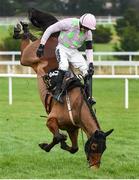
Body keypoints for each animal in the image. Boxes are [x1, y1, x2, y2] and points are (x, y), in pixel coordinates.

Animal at [13, 8, 113, 169]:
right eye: (93, 146)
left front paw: (55, 145)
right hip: (27, 57)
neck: (76, 106)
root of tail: (54, 39)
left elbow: (74, 147)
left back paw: (25, 30)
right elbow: (59, 136)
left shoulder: (73, 129)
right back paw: (21, 31)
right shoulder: (51, 120)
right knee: (32, 43)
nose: (95, 167)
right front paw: (51, 144)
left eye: (104, 148)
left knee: (34, 38)